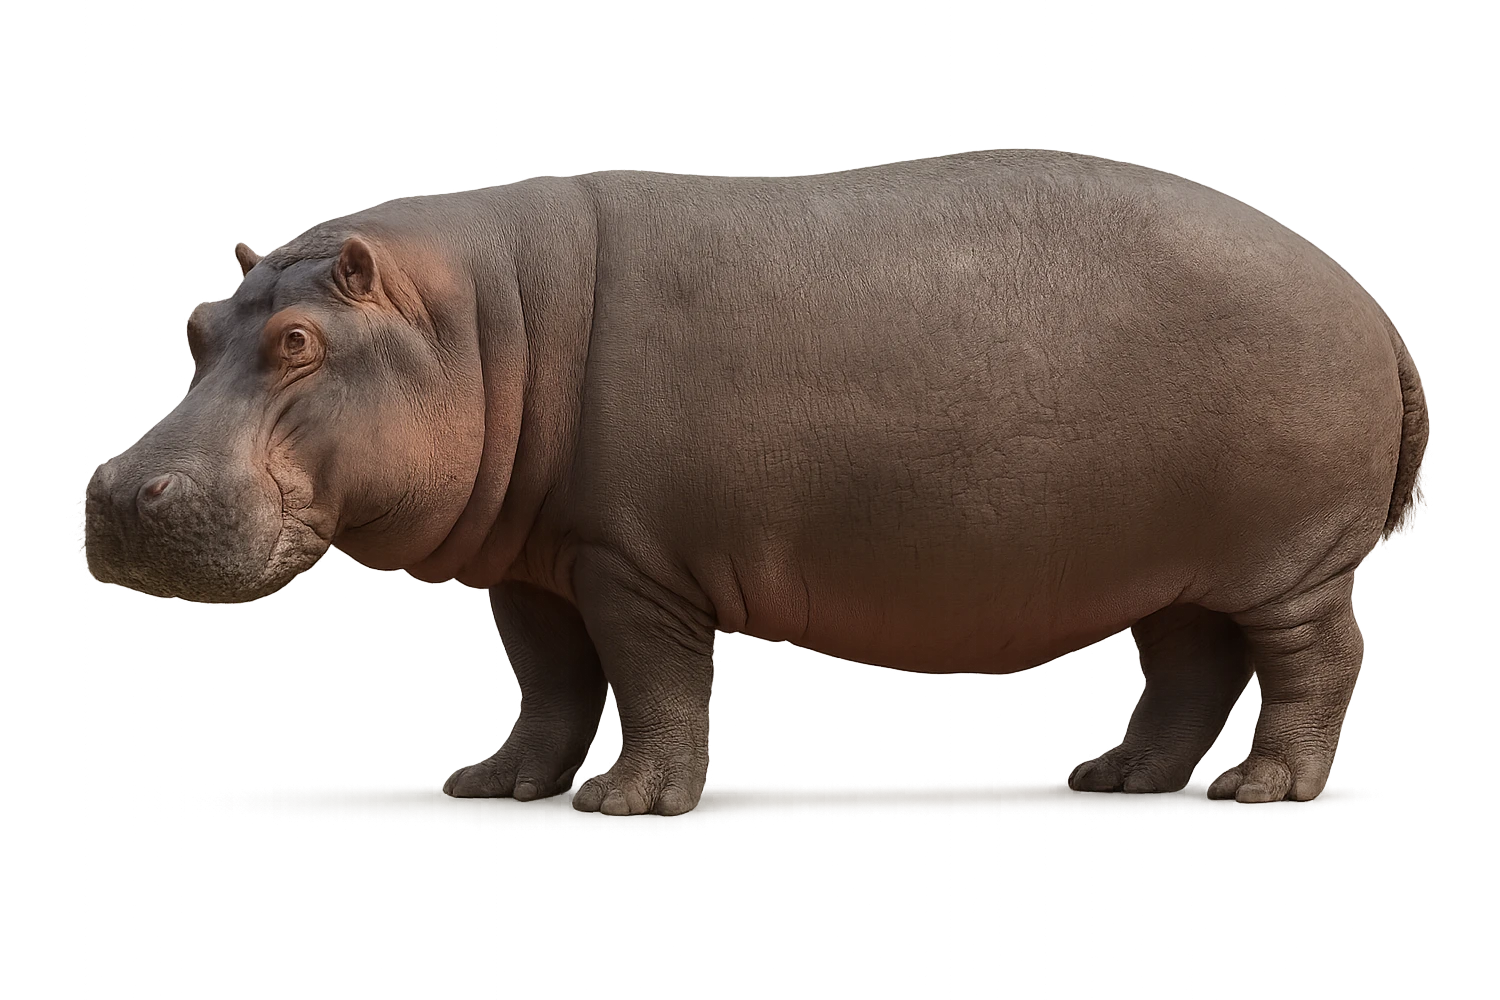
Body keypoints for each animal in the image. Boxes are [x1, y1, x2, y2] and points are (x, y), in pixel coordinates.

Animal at [82, 149, 1429, 815]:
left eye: (299, 342)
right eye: (194, 325)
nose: (111, 491)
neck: (477, 322)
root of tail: (1365, 295)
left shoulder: (635, 565)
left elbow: (653, 682)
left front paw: (628, 805)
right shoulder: (538, 567)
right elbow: (551, 683)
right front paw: (497, 786)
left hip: (1290, 560)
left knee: (1317, 660)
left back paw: (1265, 787)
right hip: (1170, 565)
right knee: (1190, 668)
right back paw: (1117, 779)